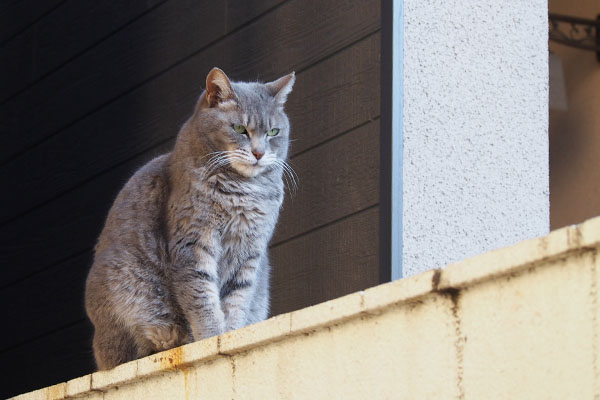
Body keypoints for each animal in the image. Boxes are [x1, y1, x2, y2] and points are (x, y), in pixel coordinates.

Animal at [85, 67, 296, 370]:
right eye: (240, 129)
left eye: (273, 132)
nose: (258, 153)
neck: (243, 190)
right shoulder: (193, 241)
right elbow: (202, 298)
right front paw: (212, 338)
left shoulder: (249, 251)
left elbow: (237, 300)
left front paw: (231, 336)